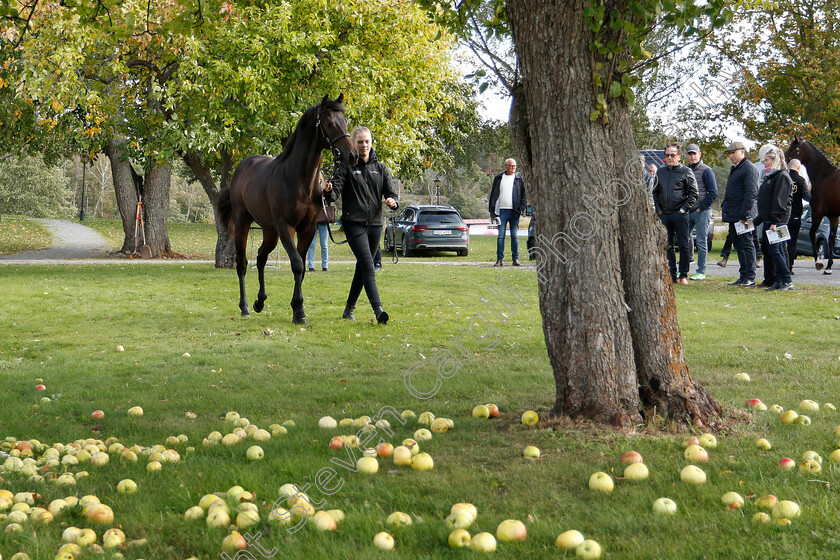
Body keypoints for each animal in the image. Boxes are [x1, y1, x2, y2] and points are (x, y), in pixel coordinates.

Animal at [218, 94, 356, 322]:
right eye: (328, 123)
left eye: (345, 121)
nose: (352, 155)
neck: (299, 179)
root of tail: (244, 166)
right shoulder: (286, 227)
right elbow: (297, 264)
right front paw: (298, 311)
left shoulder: (307, 229)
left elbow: (301, 268)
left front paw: (297, 308)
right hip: (243, 223)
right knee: (243, 262)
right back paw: (245, 307)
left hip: (269, 231)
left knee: (261, 257)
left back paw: (259, 302)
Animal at [784, 138, 840, 274]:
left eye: (793, 148)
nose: (785, 157)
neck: (825, 176)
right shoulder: (834, 216)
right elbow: (831, 239)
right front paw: (828, 267)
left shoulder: (817, 213)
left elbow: (812, 234)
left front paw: (818, 262)